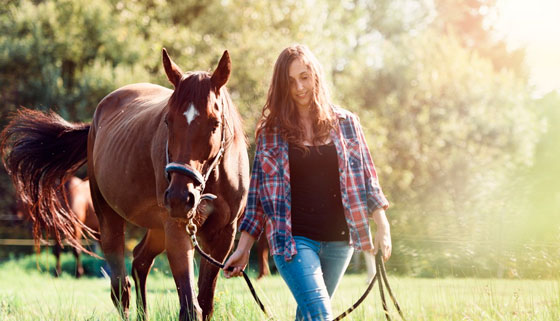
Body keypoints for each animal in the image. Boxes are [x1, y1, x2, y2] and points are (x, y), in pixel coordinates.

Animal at [0, 48, 249, 318]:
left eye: (215, 123)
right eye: (168, 121)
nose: (179, 198)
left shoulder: (223, 236)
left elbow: (206, 302)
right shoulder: (177, 229)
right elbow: (190, 306)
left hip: (157, 226)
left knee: (140, 260)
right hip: (111, 220)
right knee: (120, 288)